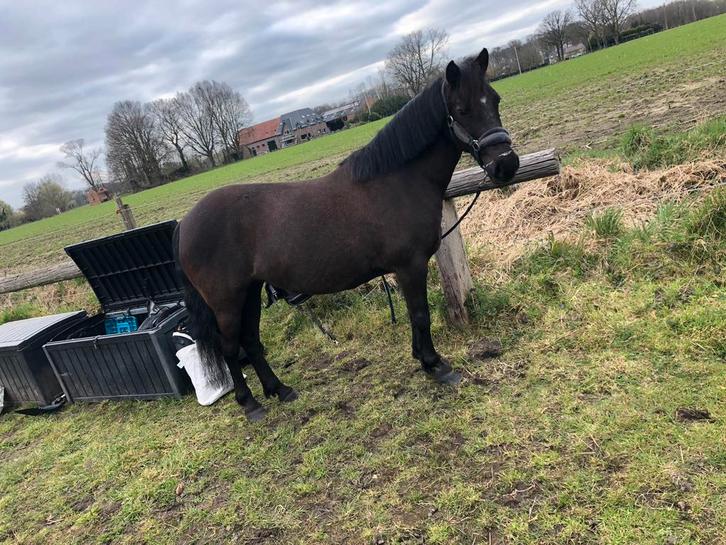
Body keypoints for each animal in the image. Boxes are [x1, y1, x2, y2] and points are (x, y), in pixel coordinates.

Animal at [174, 47, 519, 421]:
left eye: (495, 99)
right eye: (462, 109)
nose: (506, 165)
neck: (398, 182)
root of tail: (185, 223)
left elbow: (415, 316)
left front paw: (422, 359)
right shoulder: (410, 266)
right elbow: (420, 315)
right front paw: (436, 365)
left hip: (250, 291)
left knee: (250, 341)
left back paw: (280, 390)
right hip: (226, 300)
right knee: (229, 348)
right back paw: (250, 404)